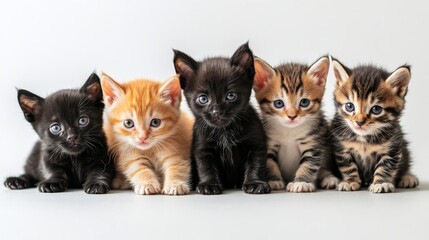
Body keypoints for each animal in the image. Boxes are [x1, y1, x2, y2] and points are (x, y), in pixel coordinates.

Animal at [172, 42, 270, 194]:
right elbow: (206, 167)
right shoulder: (203, 147)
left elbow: (257, 164)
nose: (217, 111)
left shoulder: (256, 143)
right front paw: (209, 185)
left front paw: (255, 183)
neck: (224, 131)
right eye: (203, 99)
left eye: (230, 95)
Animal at [251, 57, 338, 192]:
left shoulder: (313, 141)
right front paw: (274, 181)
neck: (289, 131)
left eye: (304, 102)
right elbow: (269, 162)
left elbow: (309, 163)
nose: (292, 116)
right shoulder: (269, 142)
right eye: (278, 103)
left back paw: (328, 178)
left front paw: (302, 182)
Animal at [328, 58, 418, 193]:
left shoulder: (392, 148)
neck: (364, 139)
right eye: (349, 106)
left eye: (376, 109)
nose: (359, 122)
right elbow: (348, 166)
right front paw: (350, 181)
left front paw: (381, 183)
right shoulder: (341, 148)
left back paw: (407, 177)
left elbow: (386, 167)